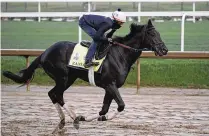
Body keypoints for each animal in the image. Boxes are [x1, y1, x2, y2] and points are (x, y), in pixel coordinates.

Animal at [2, 19, 168, 132]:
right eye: (152, 33)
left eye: (159, 33)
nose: (164, 50)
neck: (121, 54)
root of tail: (44, 53)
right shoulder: (110, 84)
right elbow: (121, 105)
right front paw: (84, 118)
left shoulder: (109, 88)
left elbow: (104, 110)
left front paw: (97, 118)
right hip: (62, 77)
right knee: (56, 94)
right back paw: (73, 118)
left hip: (69, 78)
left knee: (53, 94)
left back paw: (65, 120)